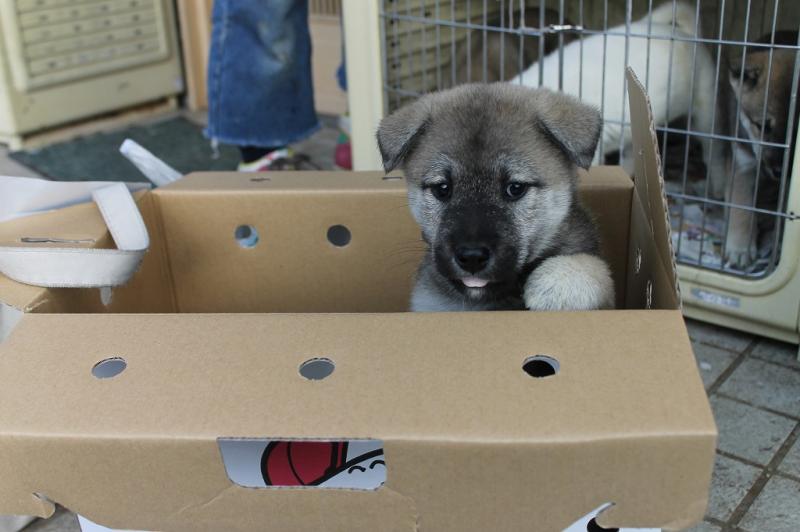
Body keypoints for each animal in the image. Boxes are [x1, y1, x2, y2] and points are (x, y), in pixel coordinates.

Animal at [721, 31, 799, 269]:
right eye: (763, 126)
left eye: (796, 132)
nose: (779, 172)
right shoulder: (742, 163)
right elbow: (742, 208)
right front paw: (740, 249)